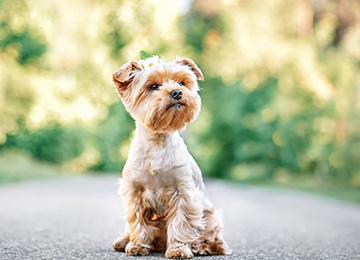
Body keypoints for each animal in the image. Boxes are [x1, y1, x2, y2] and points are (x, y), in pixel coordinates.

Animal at [112, 55, 228, 258]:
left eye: (182, 83)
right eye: (153, 86)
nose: (177, 92)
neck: (157, 141)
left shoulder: (183, 193)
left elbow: (181, 223)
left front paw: (179, 249)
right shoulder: (135, 192)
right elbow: (138, 221)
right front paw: (137, 245)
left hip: (210, 216)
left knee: (214, 239)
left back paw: (200, 246)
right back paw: (124, 241)